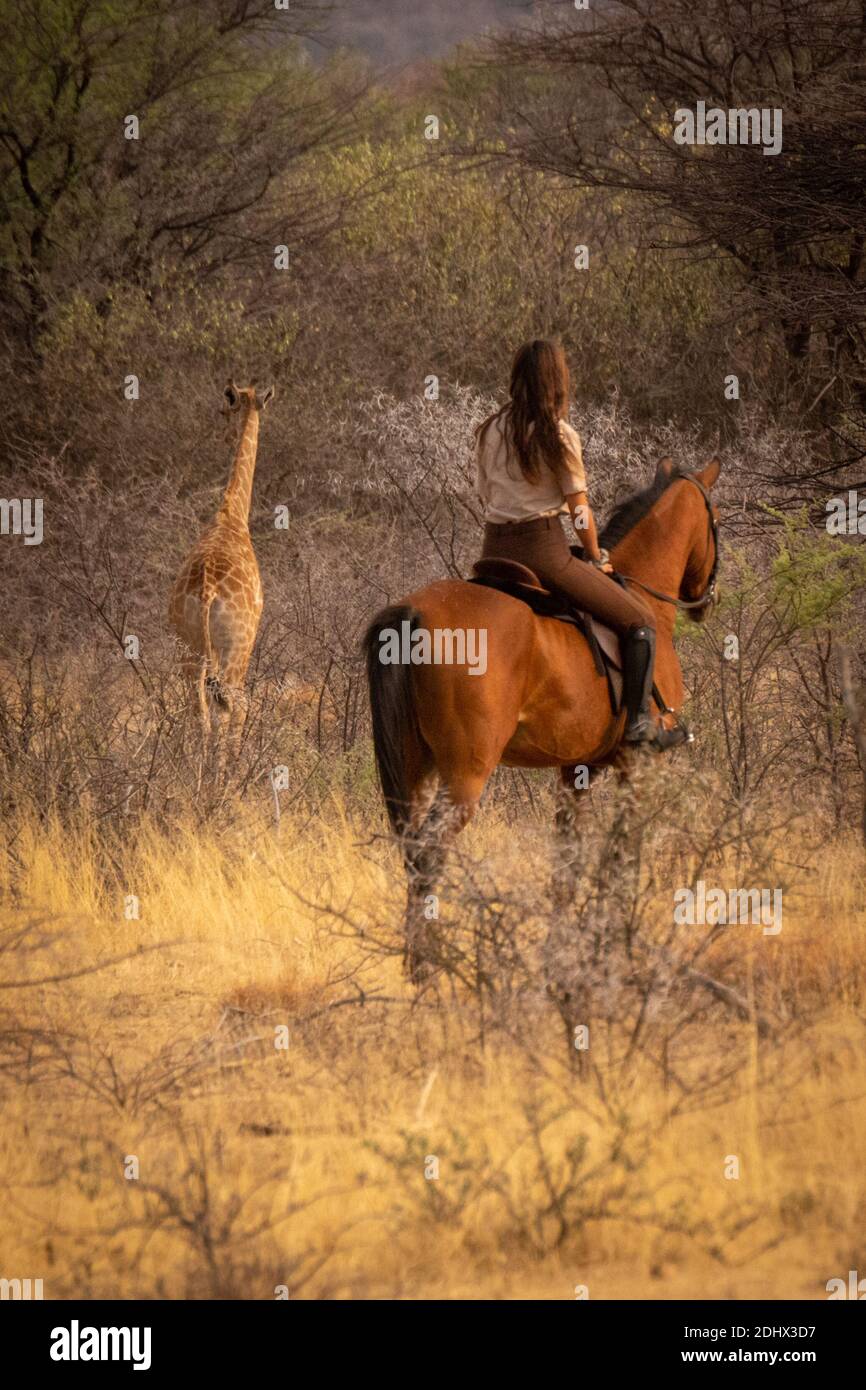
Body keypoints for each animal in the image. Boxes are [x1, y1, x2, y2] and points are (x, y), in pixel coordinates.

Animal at [169, 380, 274, 768]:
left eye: (224, 409)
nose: (224, 435)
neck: (232, 516)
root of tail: (207, 593)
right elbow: (235, 711)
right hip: (234, 649)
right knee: (233, 709)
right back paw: (226, 776)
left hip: (188, 649)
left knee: (198, 713)